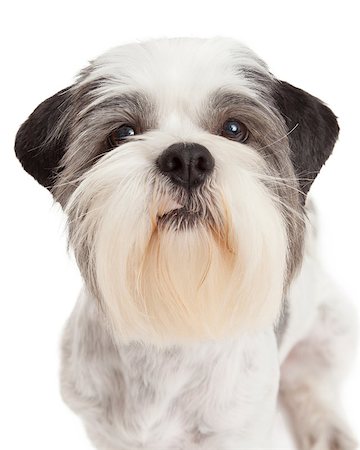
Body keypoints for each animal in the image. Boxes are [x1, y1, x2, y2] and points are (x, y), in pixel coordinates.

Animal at [14, 37, 358, 448]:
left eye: (234, 128)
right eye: (123, 133)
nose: (187, 158)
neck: (176, 324)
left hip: (333, 327)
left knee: (310, 380)